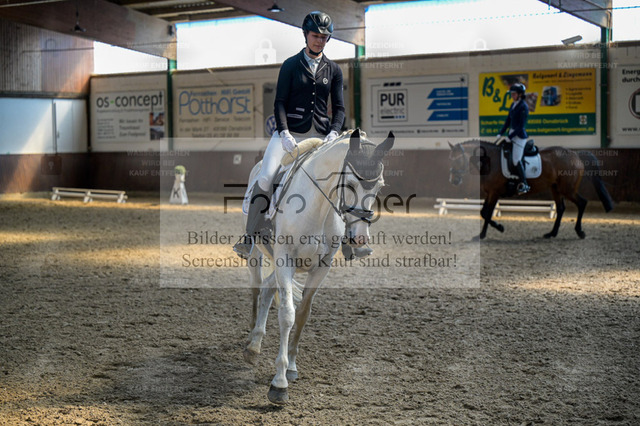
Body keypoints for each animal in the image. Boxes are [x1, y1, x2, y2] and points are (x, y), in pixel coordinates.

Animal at [242, 129, 395, 404]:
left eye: (379, 185)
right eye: (350, 184)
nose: (360, 239)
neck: (317, 208)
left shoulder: (322, 267)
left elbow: (302, 314)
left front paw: (291, 368)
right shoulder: (285, 259)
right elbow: (287, 314)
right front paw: (279, 384)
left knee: (269, 289)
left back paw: (256, 342)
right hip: (257, 255)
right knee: (257, 288)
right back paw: (250, 342)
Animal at [448, 140, 614, 240]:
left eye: (458, 160)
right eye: (450, 160)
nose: (454, 181)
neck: (491, 161)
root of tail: (575, 154)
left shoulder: (495, 193)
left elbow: (487, 214)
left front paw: (497, 229)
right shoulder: (489, 193)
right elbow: (483, 213)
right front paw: (482, 234)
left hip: (568, 189)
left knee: (582, 203)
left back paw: (579, 231)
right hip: (556, 188)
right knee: (561, 208)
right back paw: (552, 233)